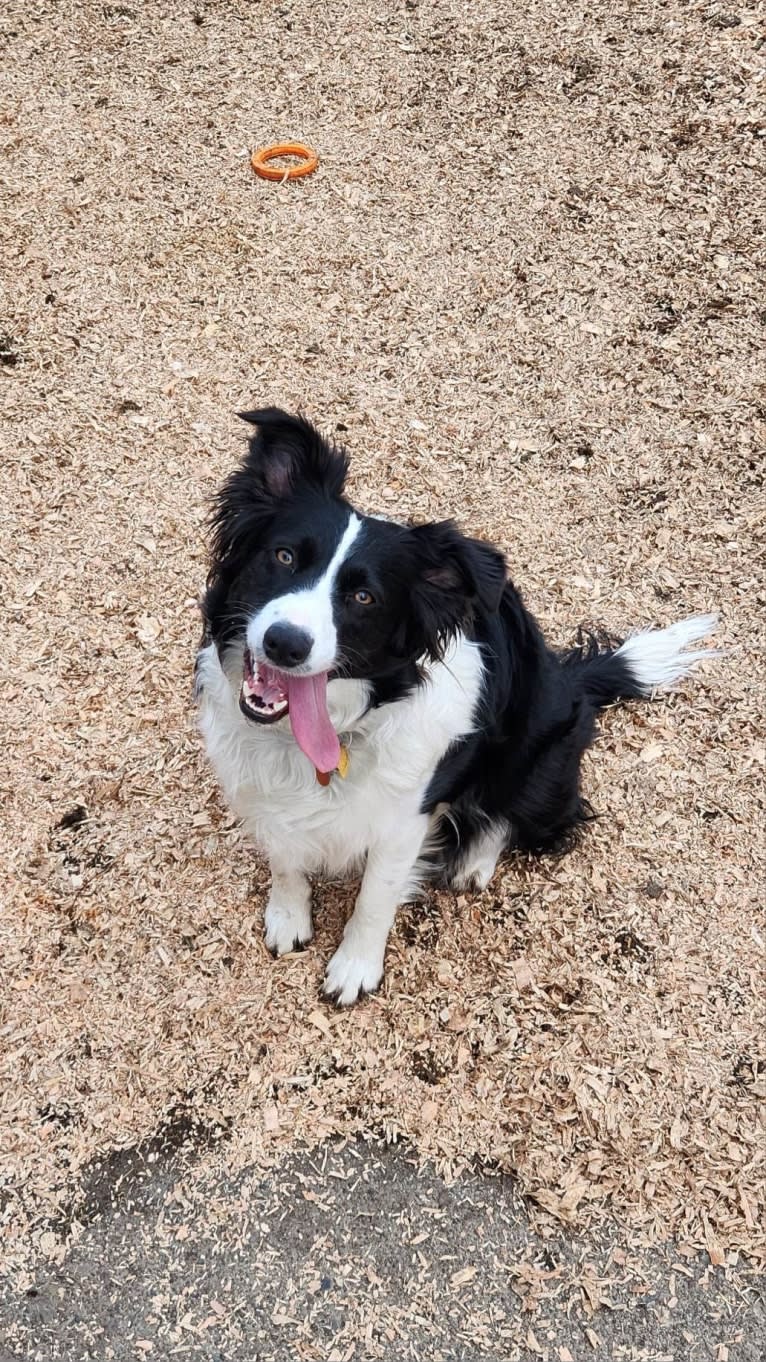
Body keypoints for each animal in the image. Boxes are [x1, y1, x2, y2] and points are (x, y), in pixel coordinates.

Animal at [194, 408, 714, 1007]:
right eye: (282, 556)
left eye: (364, 597)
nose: (285, 643)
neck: (323, 734)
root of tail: (573, 681)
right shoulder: (262, 792)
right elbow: (284, 857)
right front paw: (287, 916)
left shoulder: (404, 820)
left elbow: (375, 896)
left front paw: (354, 967)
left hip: (538, 755)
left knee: (518, 815)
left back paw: (476, 860)